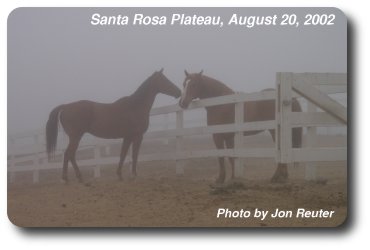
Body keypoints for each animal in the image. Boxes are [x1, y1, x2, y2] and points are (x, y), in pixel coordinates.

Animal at [45, 69, 181, 183]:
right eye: (164, 80)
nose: (179, 92)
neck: (134, 106)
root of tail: (65, 106)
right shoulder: (137, 136)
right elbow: (134, 155)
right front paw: (133, 175)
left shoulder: (128, 137)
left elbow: (123, 154)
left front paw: (120, 175)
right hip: (75, 136)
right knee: (69, 154)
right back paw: (71, 178)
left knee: (70, 155)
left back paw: (73, 177)